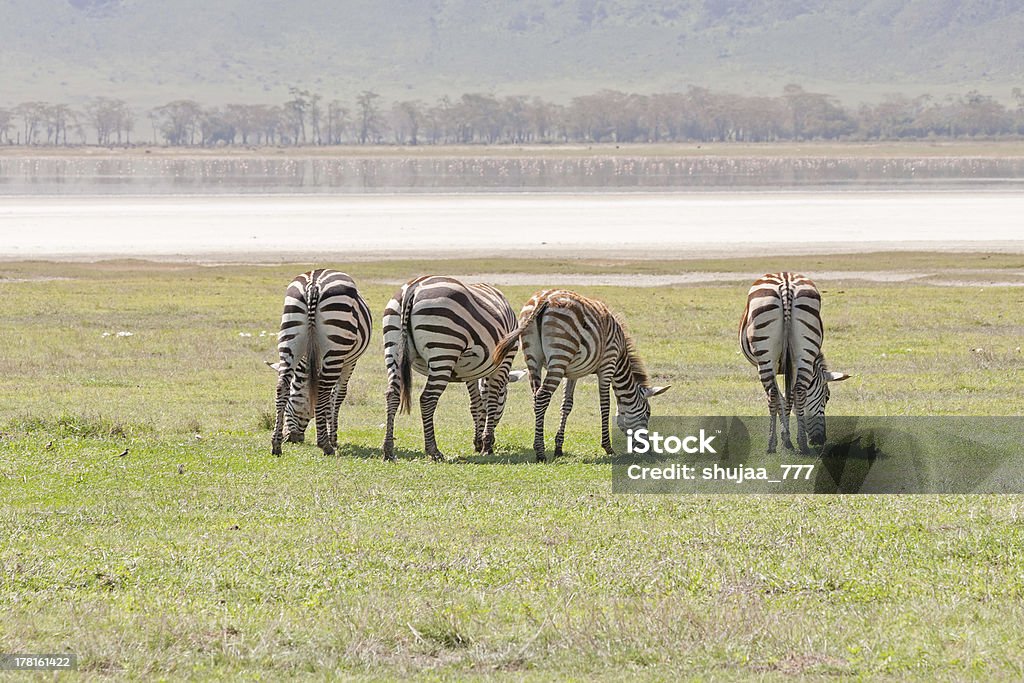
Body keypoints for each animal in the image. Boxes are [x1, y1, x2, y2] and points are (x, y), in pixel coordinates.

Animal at [268, 270, 372, 456]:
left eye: (289, 405)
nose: (290, 438)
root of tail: (313, 283)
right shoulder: (349, 362)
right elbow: (337, 395)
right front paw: (333, 438)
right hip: (336, 344)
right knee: (323, 390)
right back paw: (325, 445)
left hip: (289, 333)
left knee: (282, 386)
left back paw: (276, 444)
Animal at [385, 274, 528, 462]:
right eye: (504, 400)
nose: (486, 443)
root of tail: (414, 286)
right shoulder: (505, 360)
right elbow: (490, 401)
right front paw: (487, 445)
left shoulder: (471, 371)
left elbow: (476, 404)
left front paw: (478, 442)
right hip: (444, 348)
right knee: (427, 399)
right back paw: (433, 451)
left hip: (393, 347)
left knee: (392, 394)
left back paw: (388, 450)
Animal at [489, 288, 667, 464]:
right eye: (648, 414)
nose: (649, 451)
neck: (620, 359)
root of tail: (544, 298)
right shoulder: (607, 365)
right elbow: (605, 405)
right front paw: (608, 447)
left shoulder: (571, 373)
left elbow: (566, 405)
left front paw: (559, 448)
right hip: (560, 352)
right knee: (542, 396)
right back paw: (540, 452)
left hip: (533, 357)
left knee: (536, 396)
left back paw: (539, 446)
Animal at [741, 270, 851, 454]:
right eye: (827, 397)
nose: (820, 440)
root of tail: (785, 280)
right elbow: (788, 397)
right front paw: (788, 437)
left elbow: (781, 397)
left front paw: (784, 437)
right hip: (804, 350)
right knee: (799, 391)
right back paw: (801, 444)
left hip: (765, 355)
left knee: (772, 393)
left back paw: (772, 444)